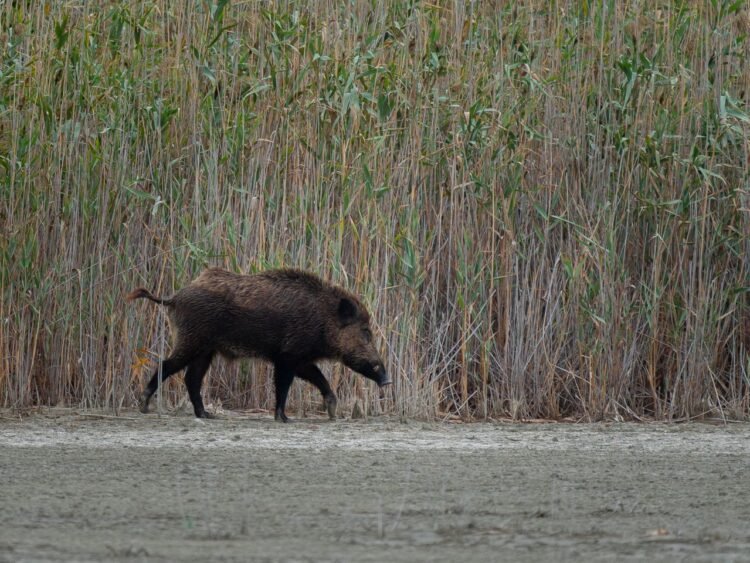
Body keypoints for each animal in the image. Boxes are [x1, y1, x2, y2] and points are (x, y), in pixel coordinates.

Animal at [128, 268, 389, 421]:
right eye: (366, 332)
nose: (387, 379)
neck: (324, 320)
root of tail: (174, 297)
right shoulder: (287, 356)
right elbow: (283, 385)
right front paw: (284, 419)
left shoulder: (300, 358)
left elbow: (317, 377)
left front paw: (333, 412)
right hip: (192, 340)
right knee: (167, 365)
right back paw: (144, 406)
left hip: (206, 350)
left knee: (191, 378)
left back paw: (207, 415)